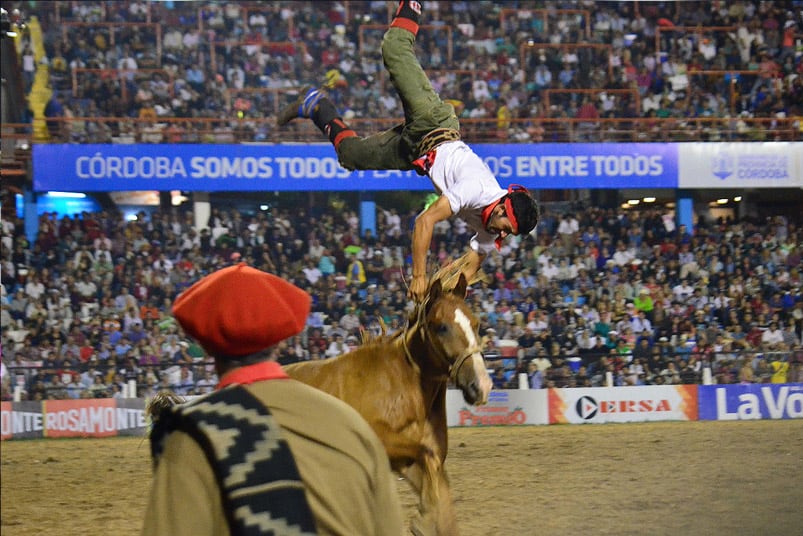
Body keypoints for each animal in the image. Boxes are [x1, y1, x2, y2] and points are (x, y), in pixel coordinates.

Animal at [286, 274, 494, 532]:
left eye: (475, 323)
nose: (481, 385)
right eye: (442, 326)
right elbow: (427, 456)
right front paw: (424, 519)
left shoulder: (407, 461)